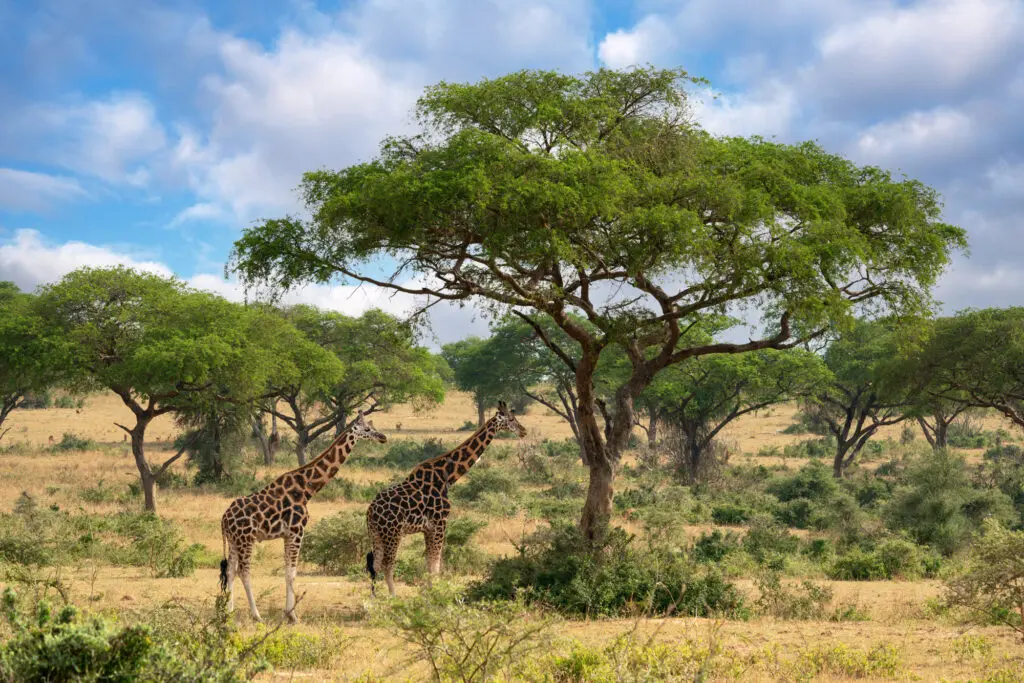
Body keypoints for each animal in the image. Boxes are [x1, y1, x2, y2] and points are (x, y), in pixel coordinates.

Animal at [220, 410, 387, 623]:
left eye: (373, 427)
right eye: (367, 429)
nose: (383, 437)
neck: (308, 489)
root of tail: (224, 520)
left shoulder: (287, 534)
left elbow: (287, 572)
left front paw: (288, 613)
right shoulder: (297, 530)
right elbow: (292, 573)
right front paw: (293, 616)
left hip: (234, 541)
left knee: (231, 571)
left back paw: (229, 612)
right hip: (246, 539)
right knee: (244, 571)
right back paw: (257, 616)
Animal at [365, 401, 527, 596]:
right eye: (510, 419)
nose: (524, 431)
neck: (448, 476)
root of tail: (371, 512)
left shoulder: (428, 528)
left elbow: (429, 563)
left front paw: (429, 592)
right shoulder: (440, 522)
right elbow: (435, 564)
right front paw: (435, 594)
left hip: (375, 533)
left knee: (374, 564)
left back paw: (374, 598)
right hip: (393, 533)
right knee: (387, 564)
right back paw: (393, 597)